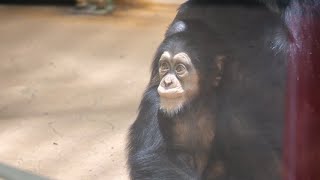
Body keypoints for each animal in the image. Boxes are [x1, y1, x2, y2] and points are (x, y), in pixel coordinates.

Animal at [127, 19, 225, 179]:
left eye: (179, 68)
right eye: (165, 66)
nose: (167, 82)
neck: (192, 105)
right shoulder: (151, 103)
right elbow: (152, 156)